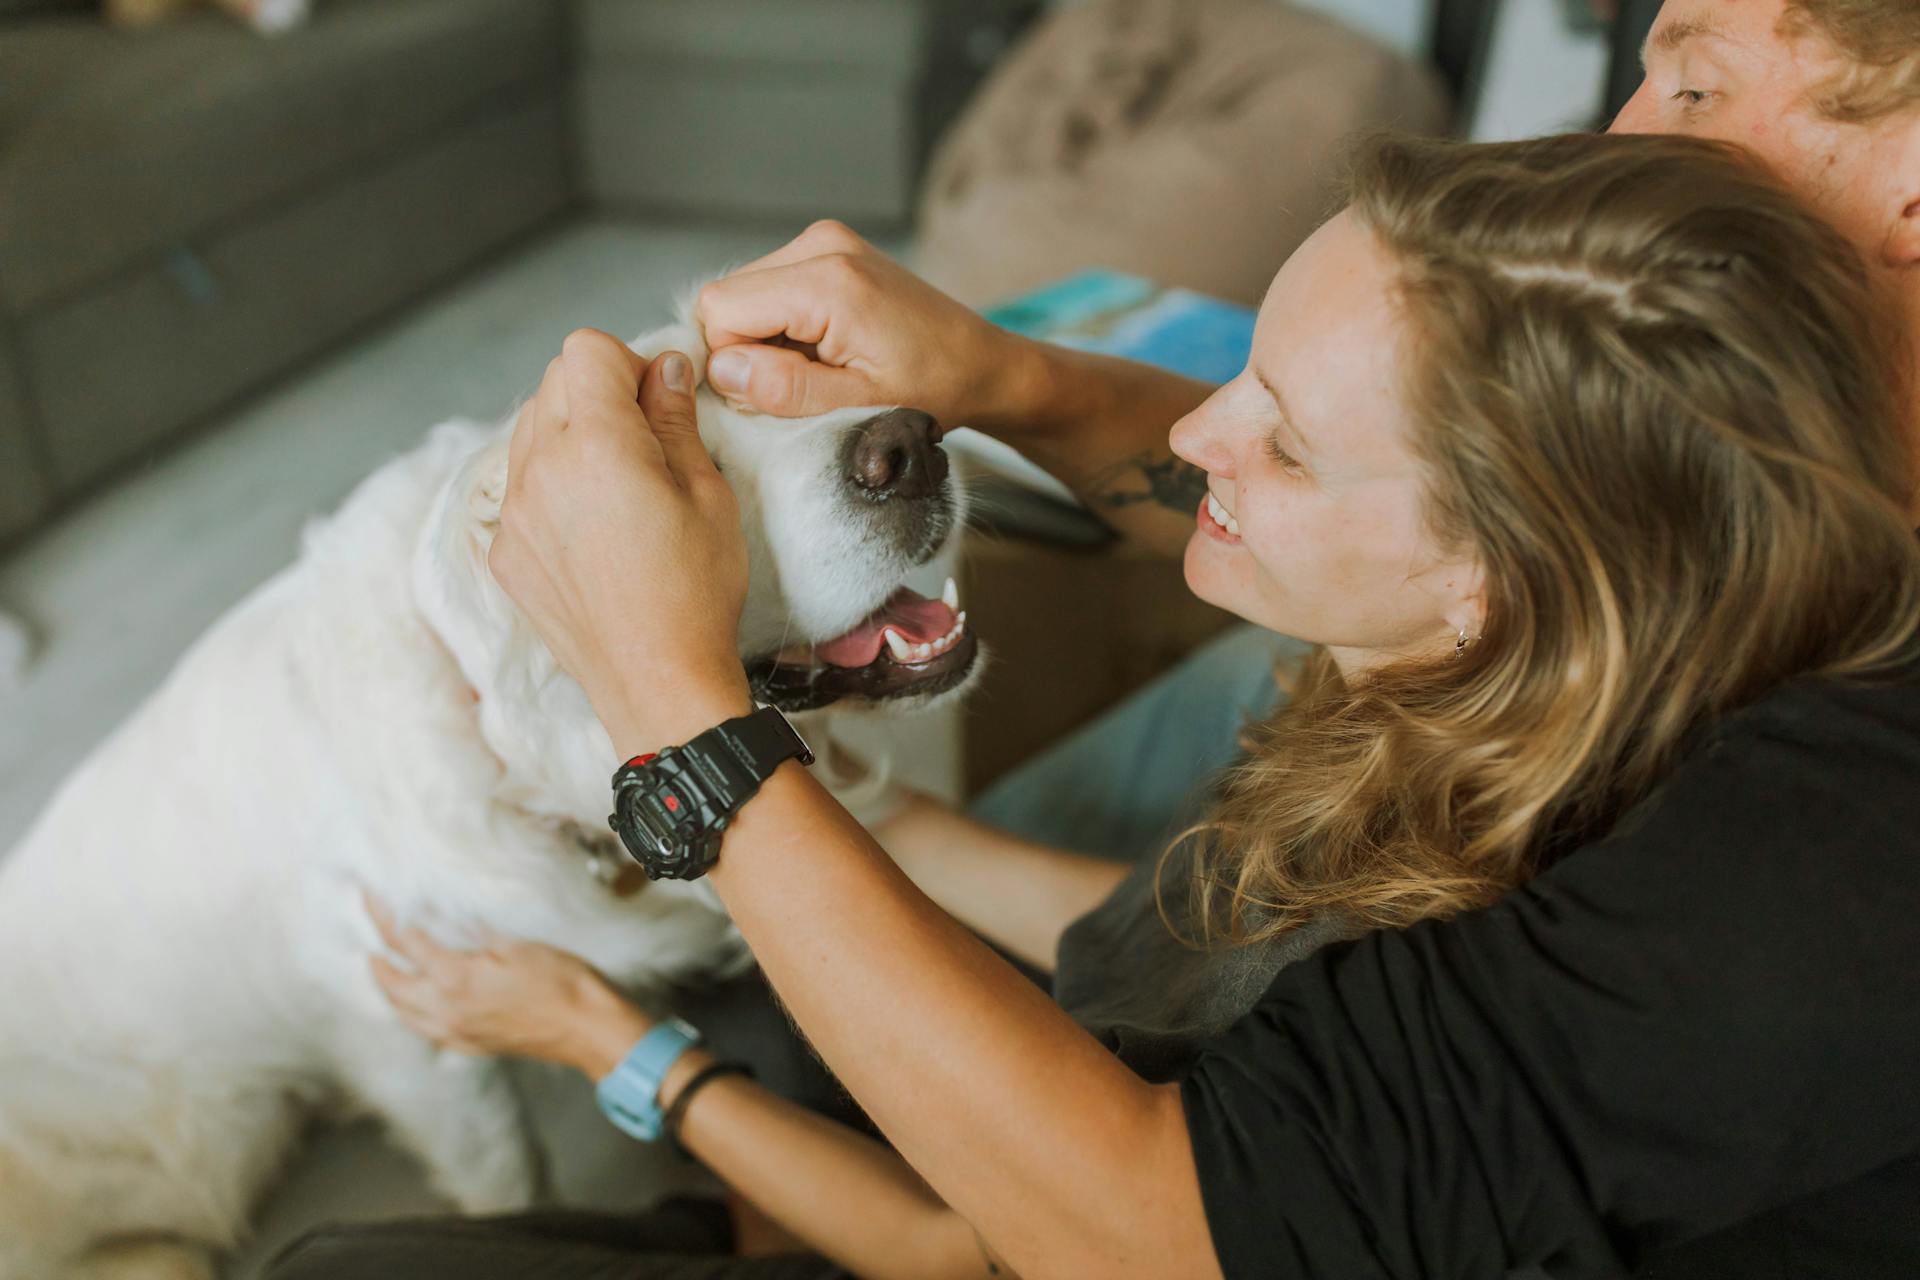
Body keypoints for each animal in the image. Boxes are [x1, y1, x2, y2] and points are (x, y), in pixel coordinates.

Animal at [0, 312, 983, 1280]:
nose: (911, 448)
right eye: (678, 470)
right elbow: (509, 1177)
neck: (501, 737)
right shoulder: (417, 1049)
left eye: (753, 390)